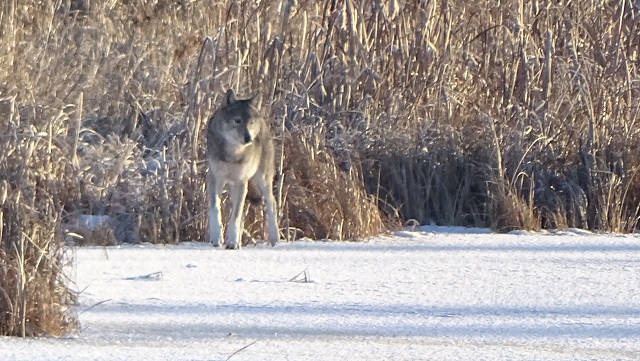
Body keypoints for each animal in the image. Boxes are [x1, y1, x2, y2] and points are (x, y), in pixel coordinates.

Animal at [206, 88, 278, 249]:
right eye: (237, 120)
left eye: (251, 122)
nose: (249, 138)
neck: (232, 153)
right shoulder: (215, 179)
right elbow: (215, 210)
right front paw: (217, 238)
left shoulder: (241, 181)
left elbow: (235, 216)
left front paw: (232, 242)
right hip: (236, 187)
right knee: (243, 211)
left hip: (262, 180)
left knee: (271, 203)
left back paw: (274, 238)